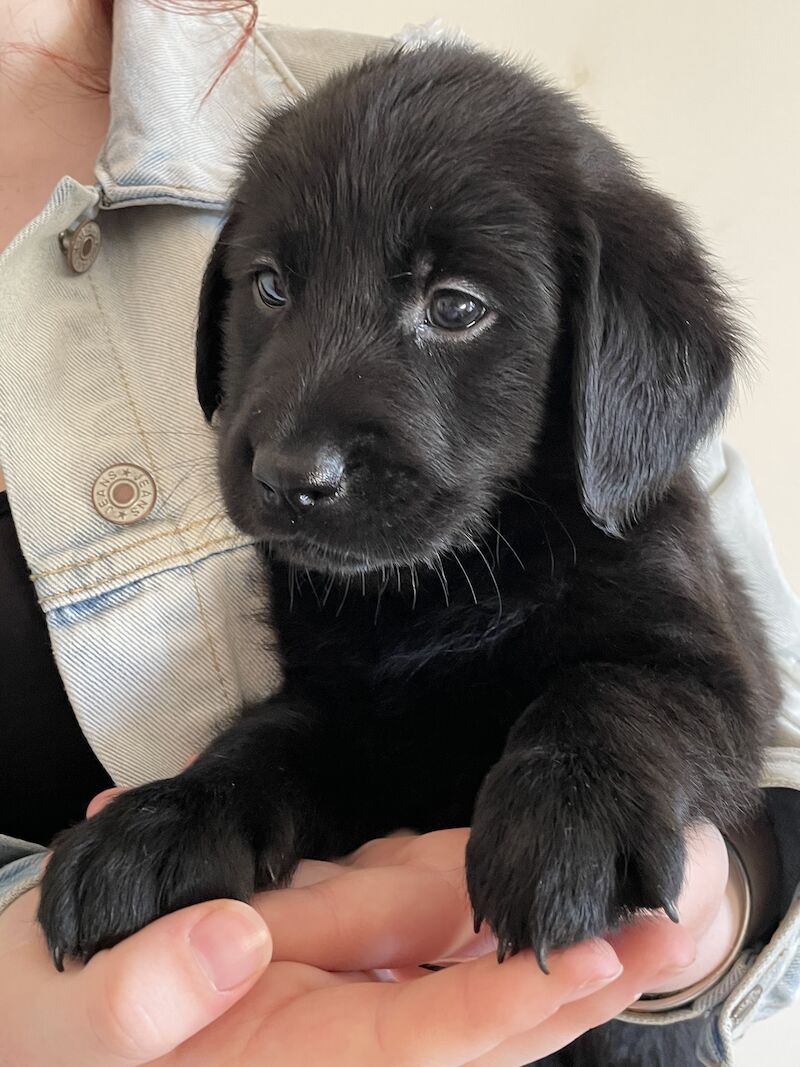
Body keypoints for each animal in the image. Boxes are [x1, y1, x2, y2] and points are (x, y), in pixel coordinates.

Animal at [40, 43, 780, 1067]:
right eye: (271, 286)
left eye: (456, 306)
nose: (290, 474)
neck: (446, 585)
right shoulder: (343, 706)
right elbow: (262, 739)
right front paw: (162, 821)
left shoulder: (718, 670)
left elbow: (616, 686)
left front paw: (570, 816)